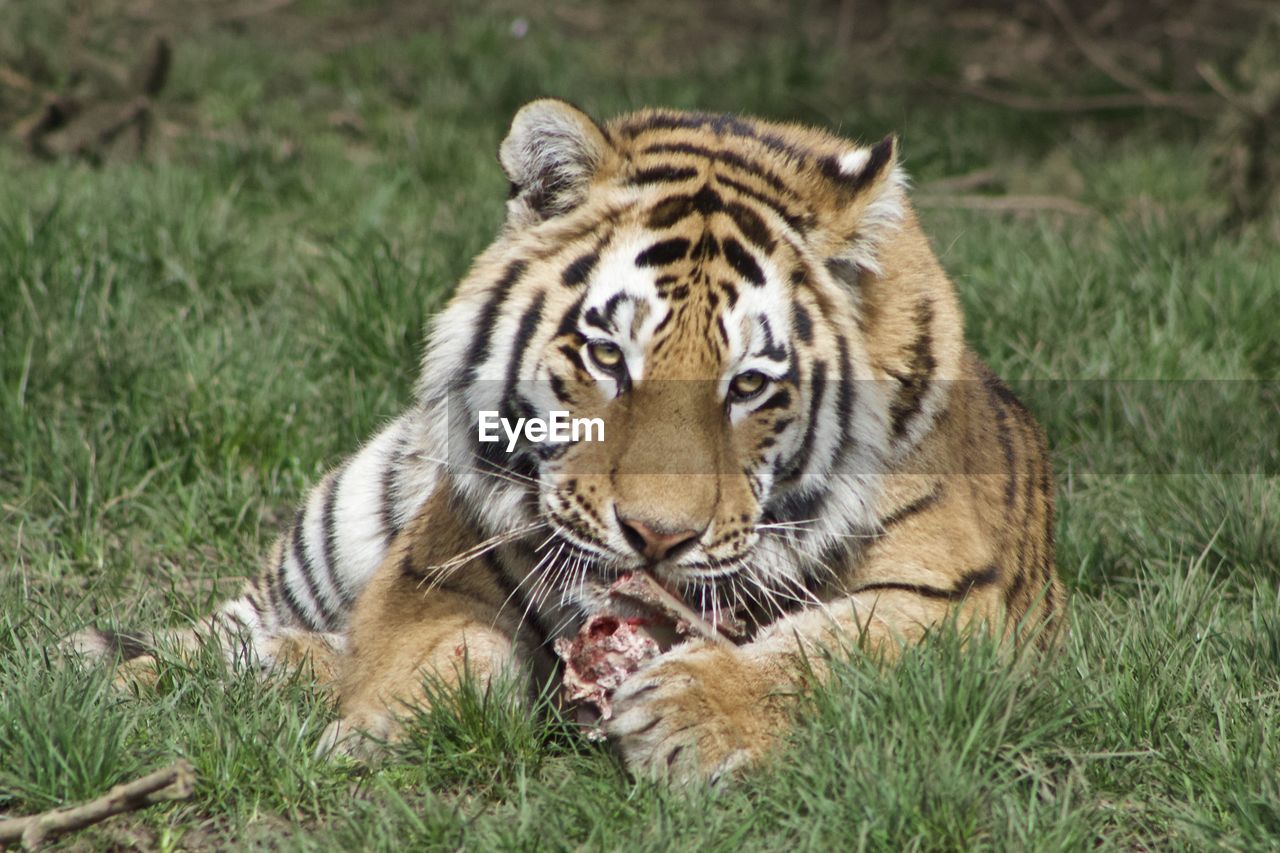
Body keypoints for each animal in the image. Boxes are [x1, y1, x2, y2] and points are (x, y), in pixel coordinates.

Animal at [74, 99, 1064, 783]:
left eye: (748, 384)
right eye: (607, 355)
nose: (657, 538)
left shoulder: (958, 596)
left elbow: (838, 651)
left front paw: (693, 716)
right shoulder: (437, 562)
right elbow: (433, 652)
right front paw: (379, 727)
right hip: (343, 516)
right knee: (233, 622)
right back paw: (114, 670)